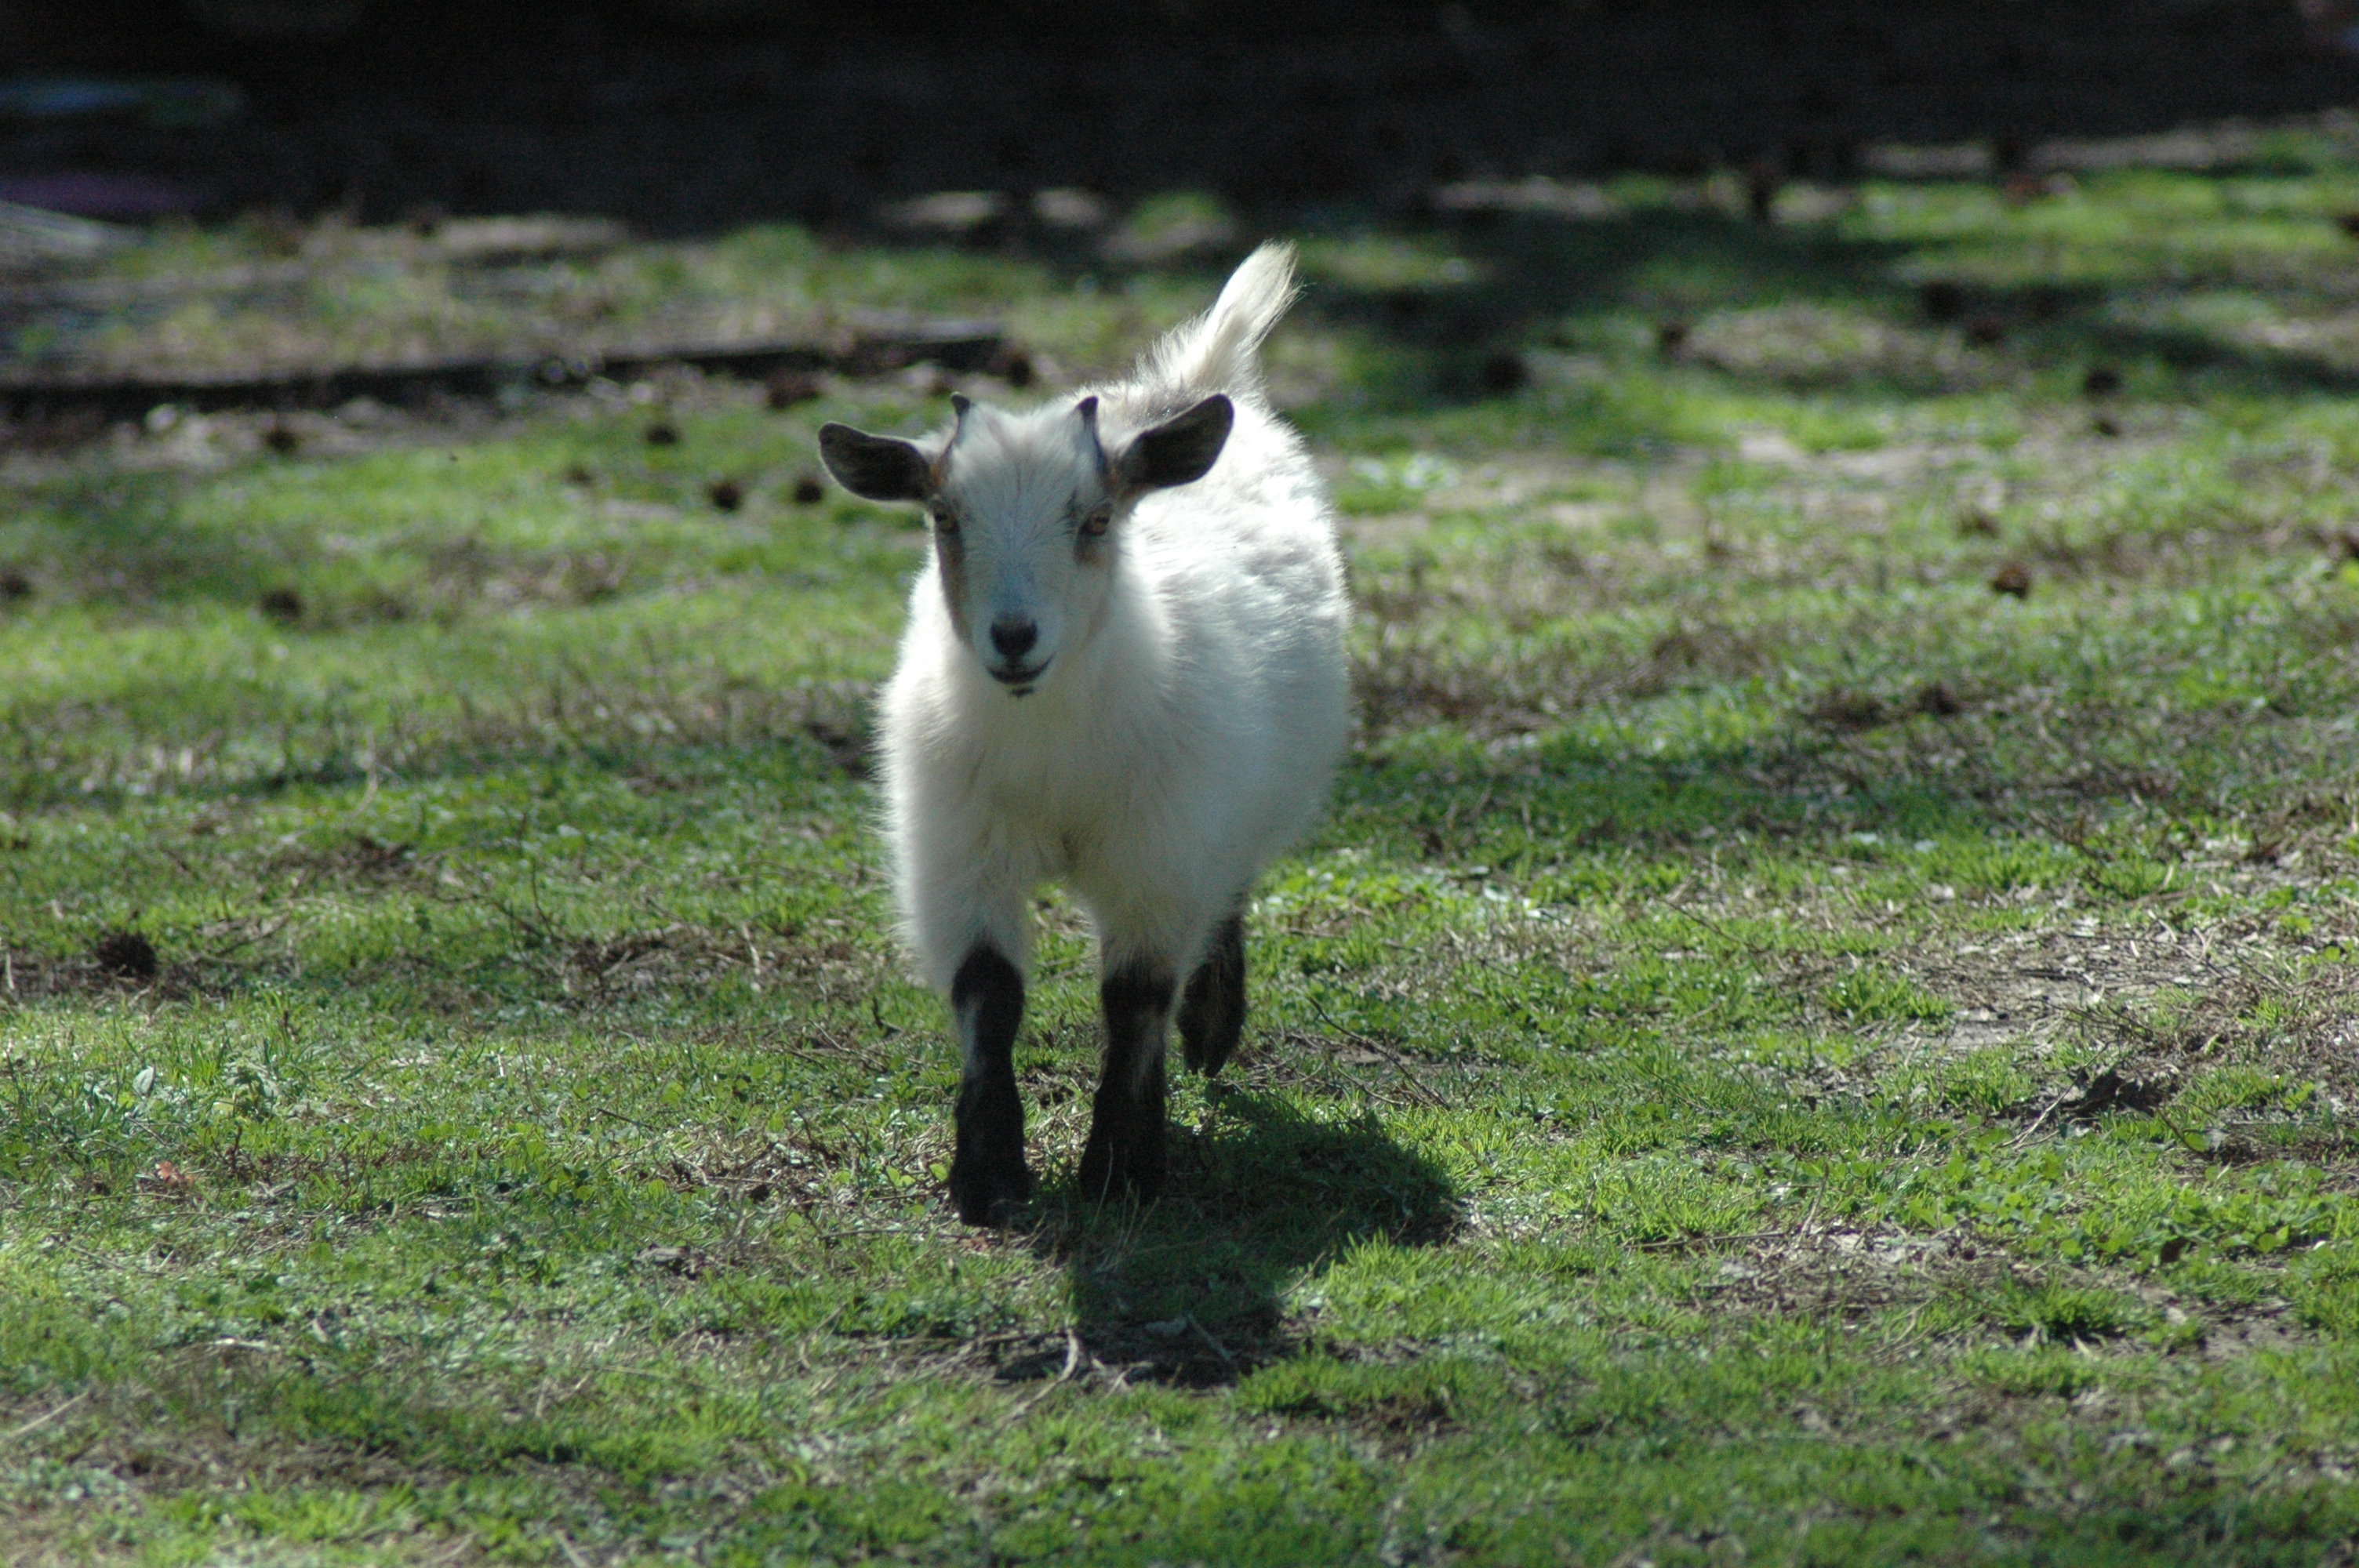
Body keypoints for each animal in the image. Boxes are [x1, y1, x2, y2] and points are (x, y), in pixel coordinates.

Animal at [817, 242, 1349, 1224]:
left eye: (1096, 518)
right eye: (943, 517)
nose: (1013, 637)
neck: (1052, 753)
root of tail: (1198, 380)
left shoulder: (1158, 850)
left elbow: (1133, 997)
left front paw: (1122, 1164)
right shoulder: (962, 851)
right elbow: (989, 991)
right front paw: (987, 1171)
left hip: (1233, 807)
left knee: (1227, 892)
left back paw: (1211, 1026)